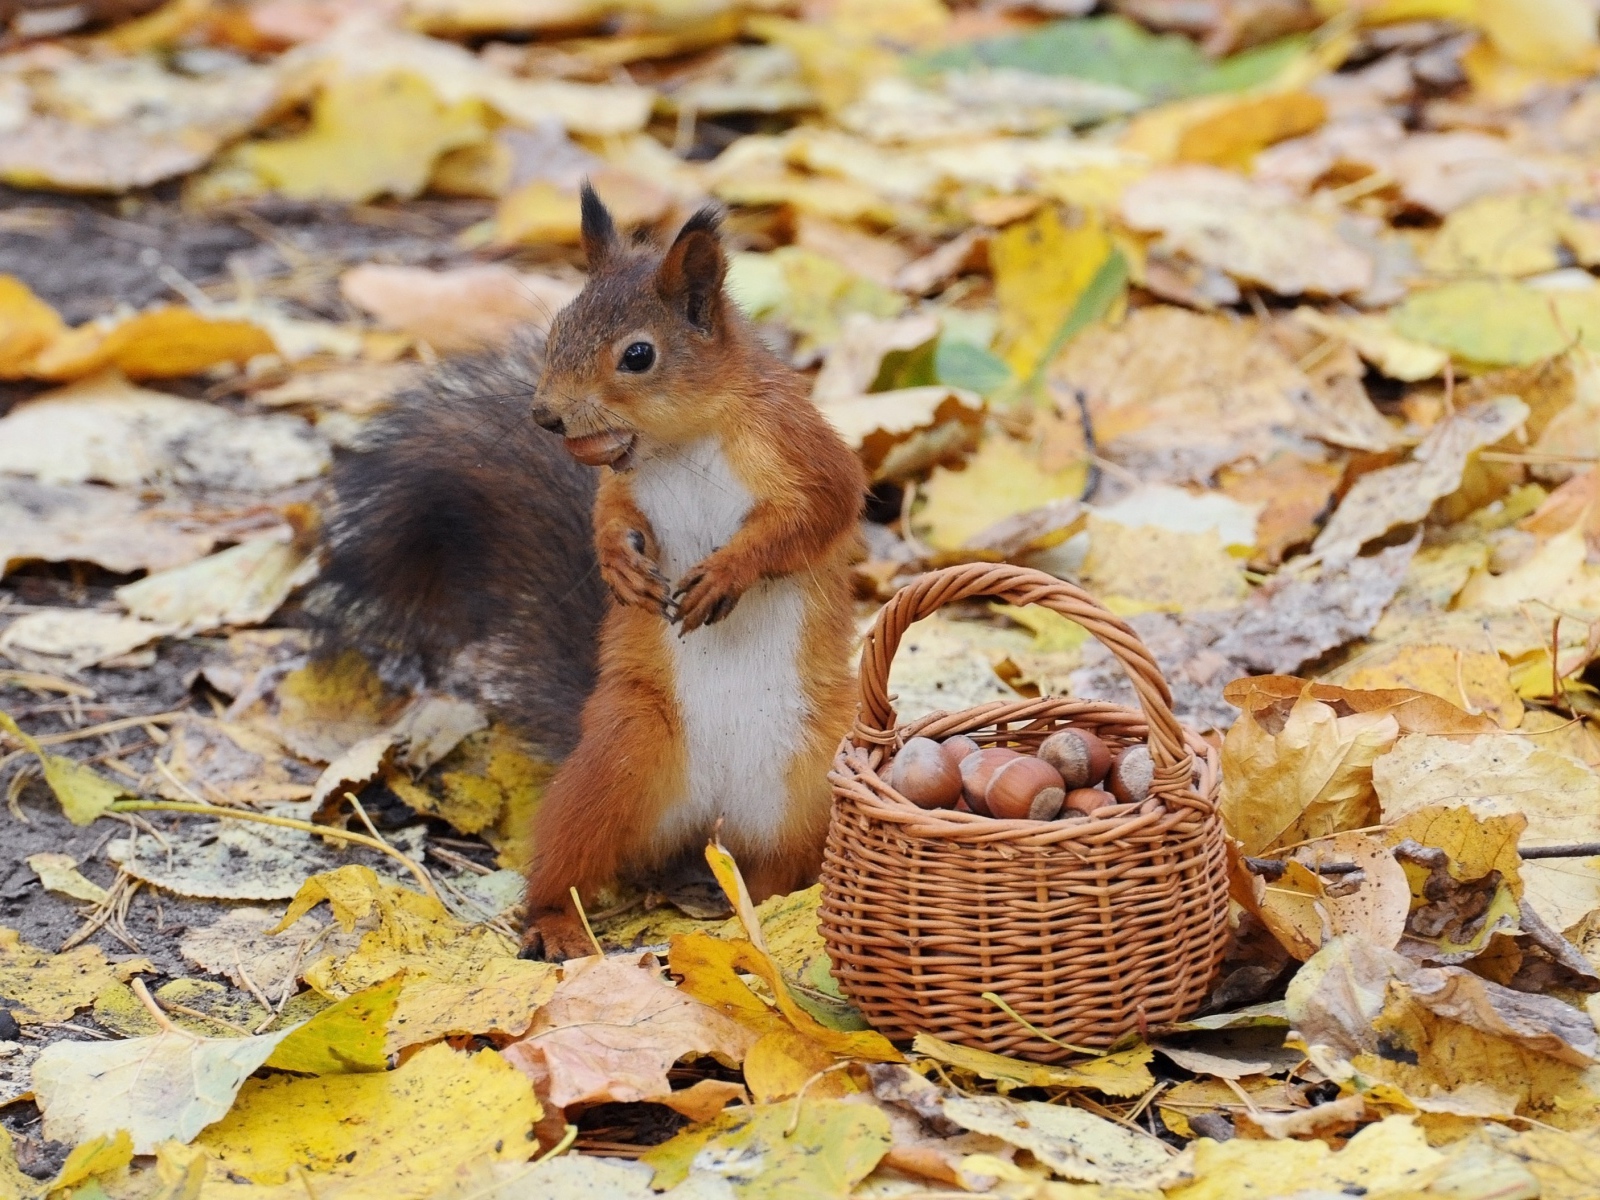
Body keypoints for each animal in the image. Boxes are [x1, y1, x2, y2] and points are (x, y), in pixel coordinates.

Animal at [317, 186, 866, 959]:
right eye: (556, 328)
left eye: (639, 355)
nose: (545, 416)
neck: (680, 443)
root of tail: (712, 821)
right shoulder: (623, 487)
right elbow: (607, 514)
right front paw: (618, 566)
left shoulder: (803, 450)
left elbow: (817, 514)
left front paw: (727, 571)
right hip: (618, 756)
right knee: (570, 861)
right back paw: (559, 923)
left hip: (815, 784)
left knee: (781, 868)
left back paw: (760, 911)